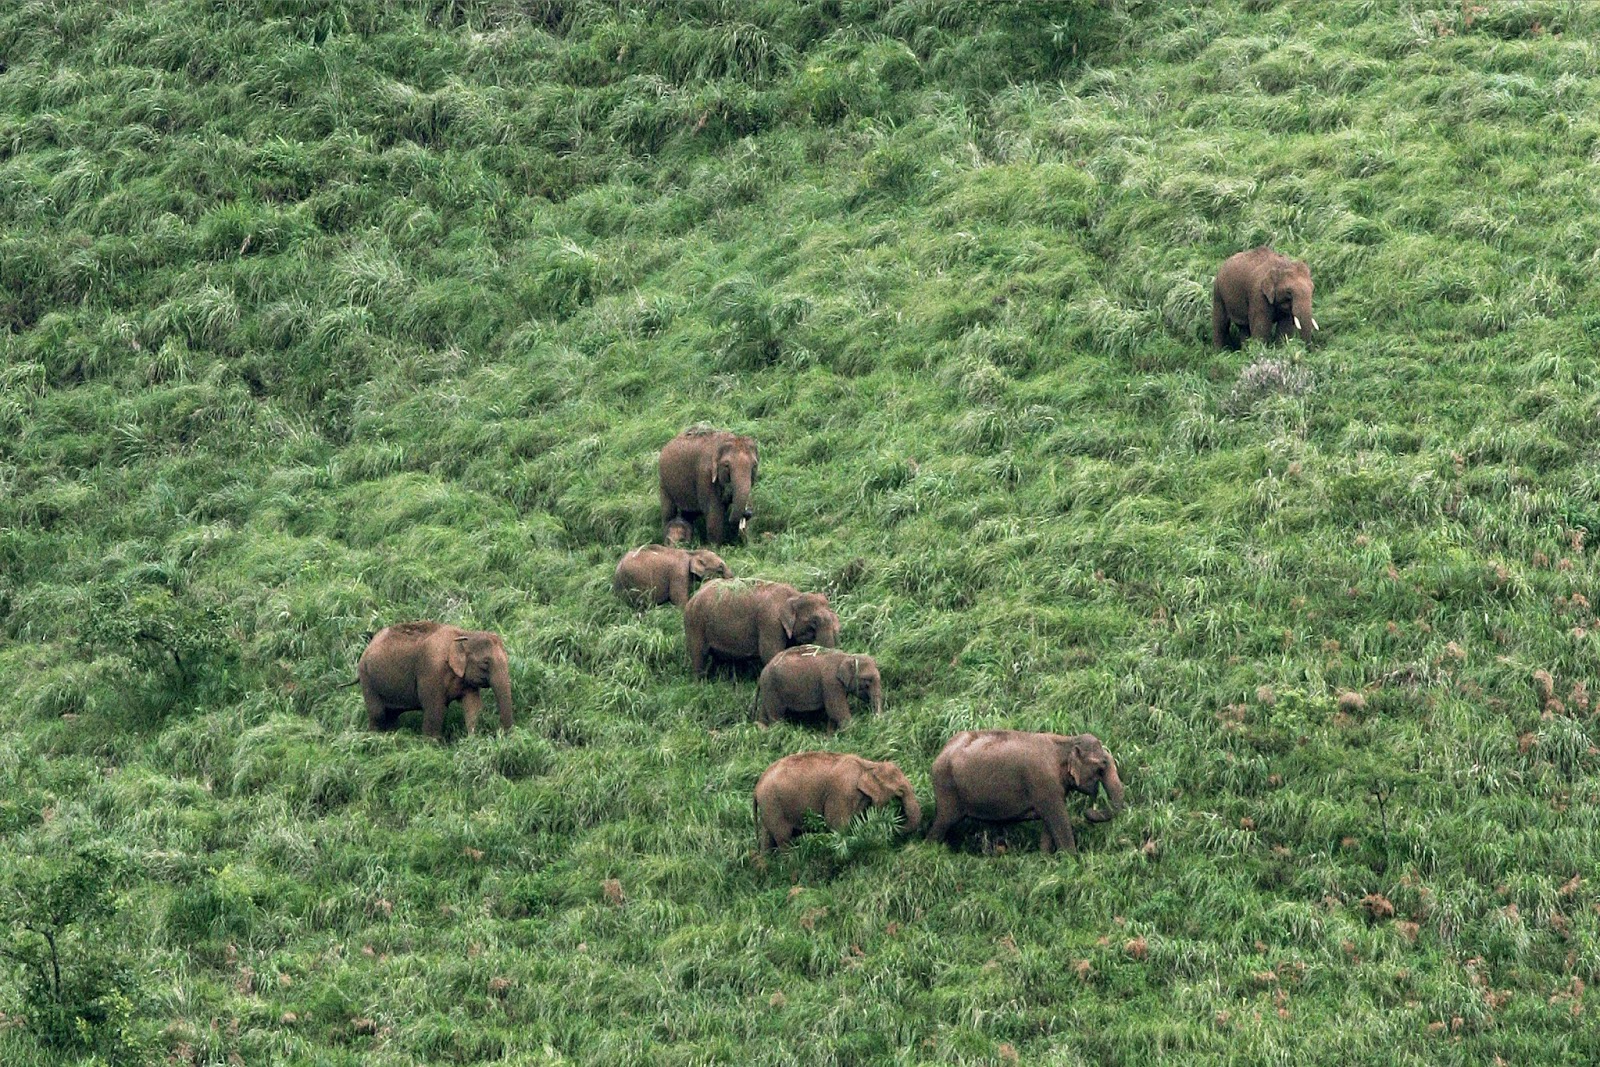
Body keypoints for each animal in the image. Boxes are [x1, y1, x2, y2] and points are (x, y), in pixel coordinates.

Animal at [356, 622, 512, 740]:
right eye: (485, 663)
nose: (500, 735)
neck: (462, 635)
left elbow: (473, 705)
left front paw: (473, 739)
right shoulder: (431, 669)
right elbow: (435, 707)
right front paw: (432, 744)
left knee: (391, 714)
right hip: (367, 677)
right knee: (378, 713)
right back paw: (374, 738)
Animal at [683, 579, 840, 676]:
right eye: (813, 623)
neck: (794, 595)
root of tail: (693, 596)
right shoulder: (769, 622)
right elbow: (770, 653)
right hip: (694, 623)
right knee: (699, 654)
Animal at [753, 752, 921, 852]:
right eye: (900, 791)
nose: (893, 825)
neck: (869, 765)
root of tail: (756, 787)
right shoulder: (842, 792)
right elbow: (837, 826)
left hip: (768, 808)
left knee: (767, 839)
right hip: (773, 805)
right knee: (784, 838)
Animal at [925, 730, 1124, 854]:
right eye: (1101, 766)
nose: (1088, 811)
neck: (1066, 742)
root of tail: (941, 751)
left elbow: (1049, 823)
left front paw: (1045, 859)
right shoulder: (1044, 782)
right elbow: (1059, 819)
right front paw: (1072, 859)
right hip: (947, 788)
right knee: (943, 822)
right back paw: (931, 850)